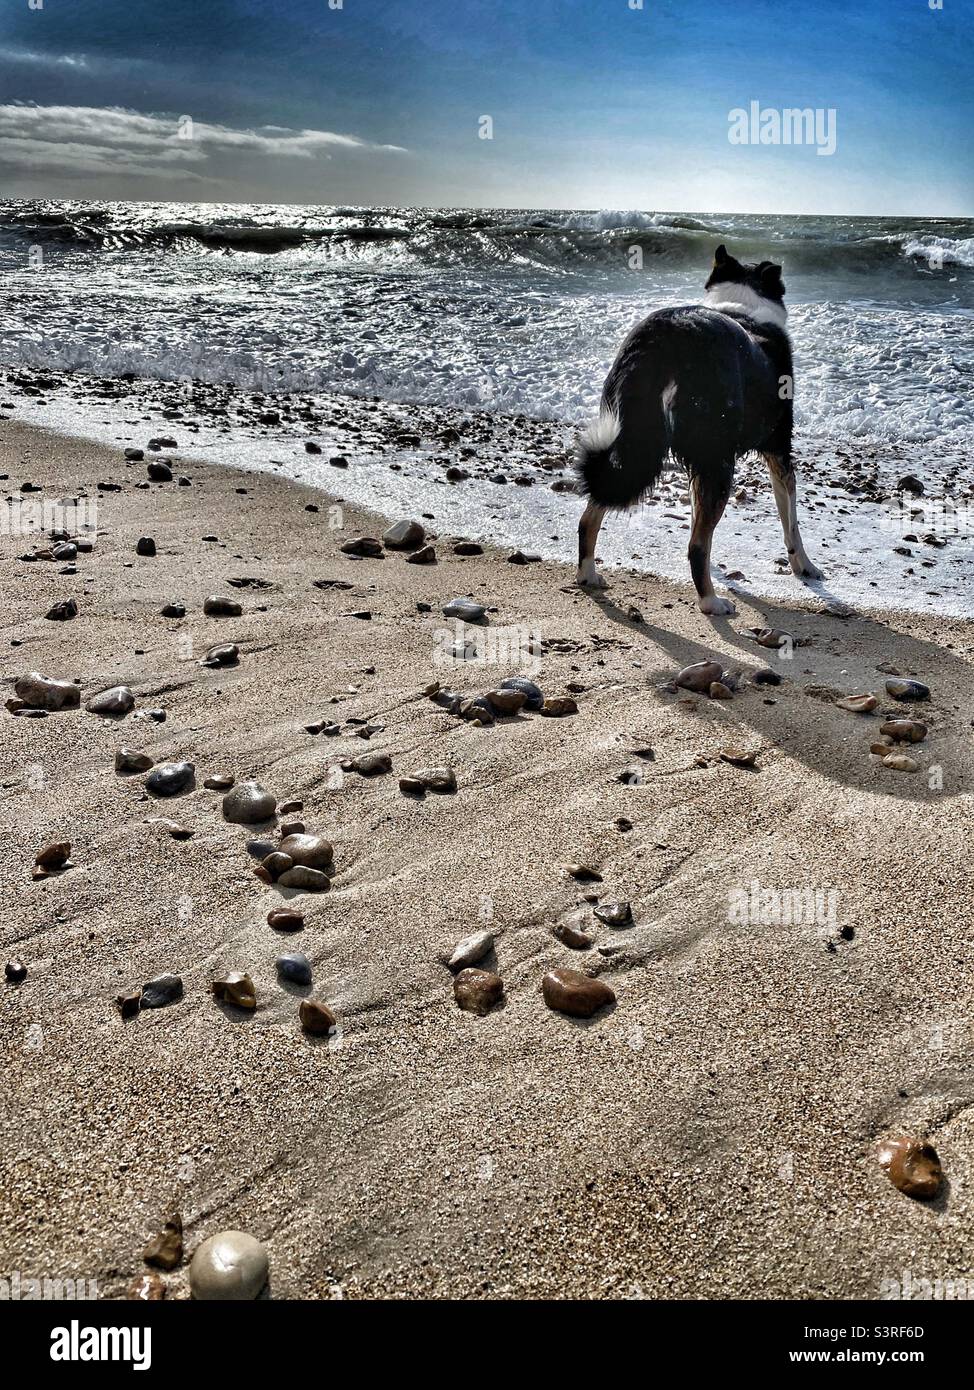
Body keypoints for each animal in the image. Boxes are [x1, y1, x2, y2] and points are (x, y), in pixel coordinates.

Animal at [578, 246, 822, 614]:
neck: (742, 305)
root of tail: (668, 335)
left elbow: (696, 513)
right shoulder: (779, 450)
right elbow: (791, 523)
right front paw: (804, 566)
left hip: (635, 440)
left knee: (595, 508)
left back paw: (588, 573)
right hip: (717, 459)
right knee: (696, 546)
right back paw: (711, 600)